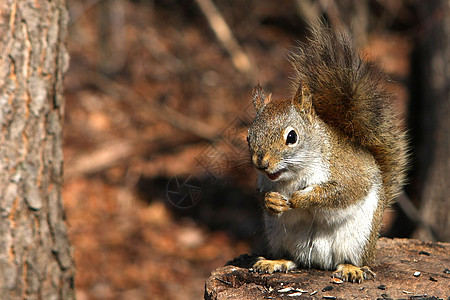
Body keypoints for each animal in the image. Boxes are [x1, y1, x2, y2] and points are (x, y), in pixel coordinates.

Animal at [246, 24, 408, 284]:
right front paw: (272, 200)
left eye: (292, 137)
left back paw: (351, 268)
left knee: (351, 259)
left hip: (359, 238)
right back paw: (276, 261)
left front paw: (301, 199)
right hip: (279, 236)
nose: (261, 163)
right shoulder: (263, 182)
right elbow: (261, 196)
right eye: (248, 137)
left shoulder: (347, 171)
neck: (293, 176)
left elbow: (342, 190)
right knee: (292, 258)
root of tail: (319, 261)